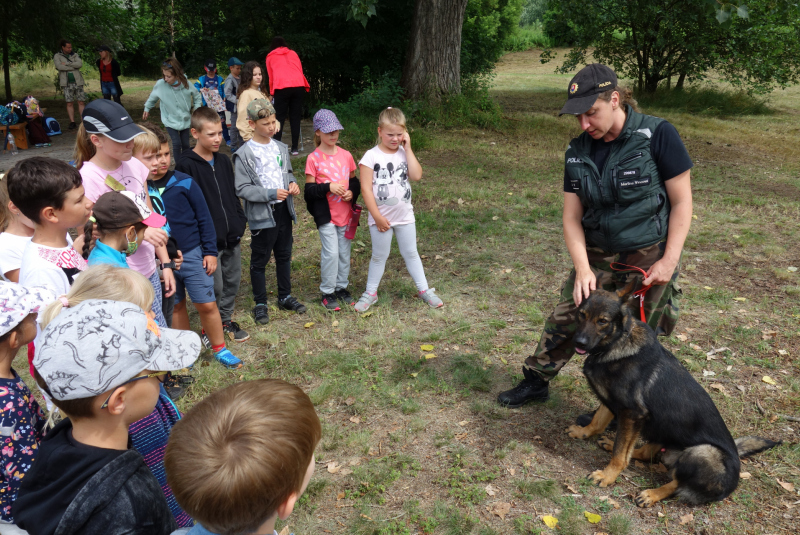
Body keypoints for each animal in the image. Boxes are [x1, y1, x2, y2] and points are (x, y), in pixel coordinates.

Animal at [564, 282, 780, 508]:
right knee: (647, 453)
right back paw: (612, 445)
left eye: (602, 321)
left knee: (678, 484)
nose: (579, 342)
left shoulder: (631, 413)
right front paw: (583, 432)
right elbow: (599, 422)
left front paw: (607, 475)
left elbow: (620, 454)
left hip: (702, 452)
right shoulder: (617, 405)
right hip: (662, 432)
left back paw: (651, 494)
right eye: (581, 315)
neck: (617, 342)